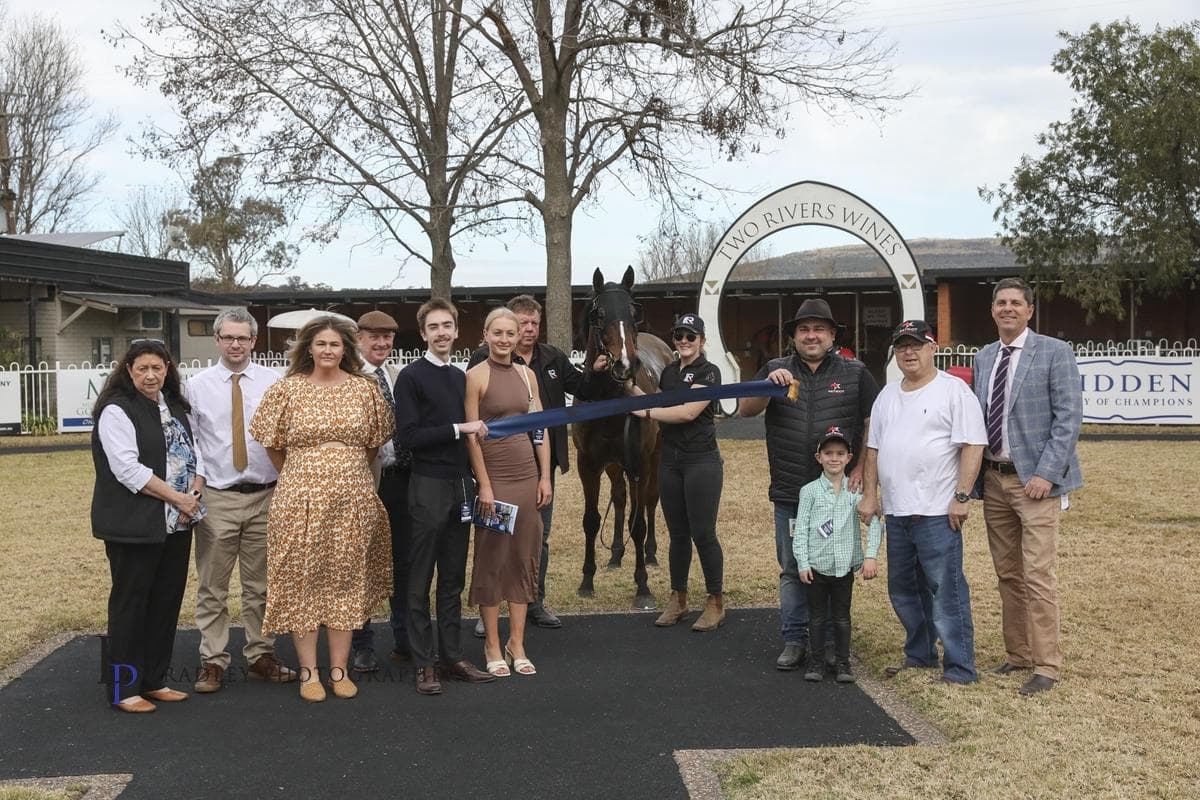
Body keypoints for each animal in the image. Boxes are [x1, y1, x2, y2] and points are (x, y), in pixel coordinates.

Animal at [572, 266, 673, 610]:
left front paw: (642, 586)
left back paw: (651, 555)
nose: (626, 364)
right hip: (616, 463)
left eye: (633, 312)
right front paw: (587, 581)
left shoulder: (640, 461)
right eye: (599, 314)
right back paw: (616, 553)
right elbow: (591, 520)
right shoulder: (588, 463)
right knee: (619, 498)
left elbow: (639, 522)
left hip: (653, 455)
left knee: (649, 501)